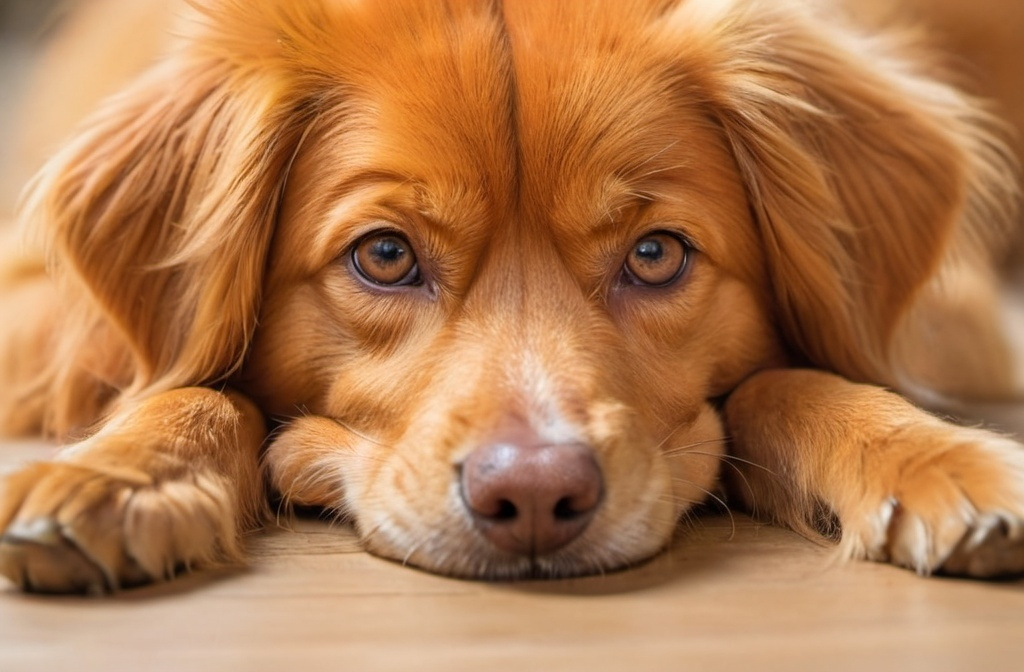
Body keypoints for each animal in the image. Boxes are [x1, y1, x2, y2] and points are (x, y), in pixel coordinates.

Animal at [2, 0, 1024, 590]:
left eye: (656, 254)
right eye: (385, 256)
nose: (534, 497)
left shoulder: (957, 321)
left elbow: (788, 382)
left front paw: (932, 456)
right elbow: (190, 383)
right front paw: (122, 471)